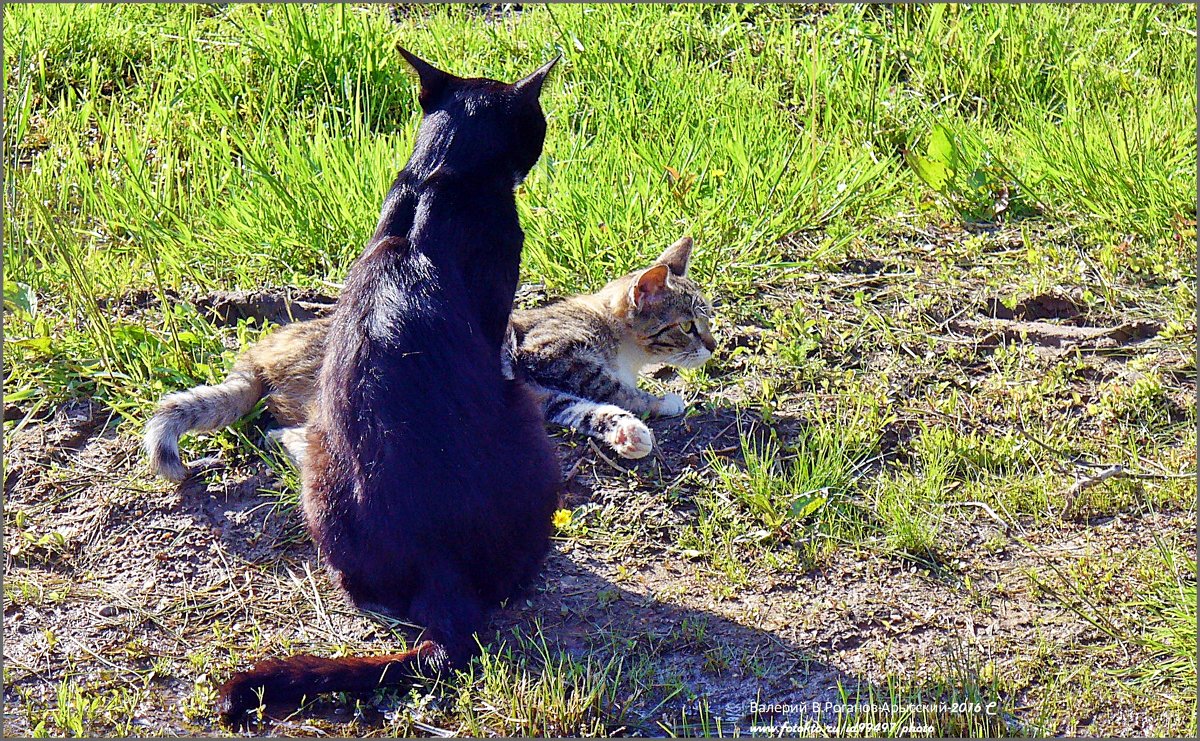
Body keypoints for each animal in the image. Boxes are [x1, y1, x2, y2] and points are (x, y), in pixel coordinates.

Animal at [145, 238, 715, 479]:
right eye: (689, 324)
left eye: (707, 320)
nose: (713, 347)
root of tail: (259, 355)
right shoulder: (548, 354)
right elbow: (610, 388)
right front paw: (658, 402)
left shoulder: (539, 393)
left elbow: (586, 409)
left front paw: (628, 433)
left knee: (279, 433)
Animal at [217, 47, 561, 719]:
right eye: (534, 125)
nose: (539, 150)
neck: (438, 180)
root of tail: (438, 565)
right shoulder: (497, 307)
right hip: (524, 419)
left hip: (321, 471)